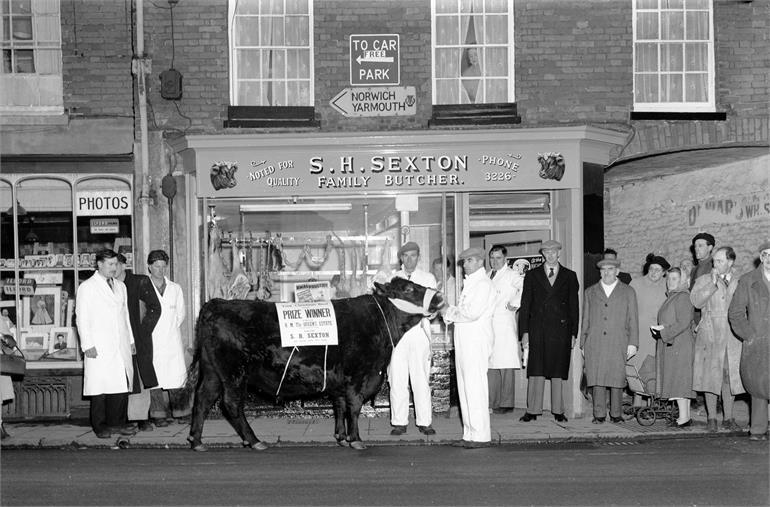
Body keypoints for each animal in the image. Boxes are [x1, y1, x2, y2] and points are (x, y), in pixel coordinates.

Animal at [185, 278, 444, 452]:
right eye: (409, 288)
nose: (440, 296)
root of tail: (216, 304)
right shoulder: (358, 375)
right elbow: (354, 406)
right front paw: (356, 440)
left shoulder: (339, 377)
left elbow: (339, 405)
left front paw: (341, 437)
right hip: (233, 372)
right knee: (230, 403)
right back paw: (255, 441)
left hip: (213, 371)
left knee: (203, 398)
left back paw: (196, 441)